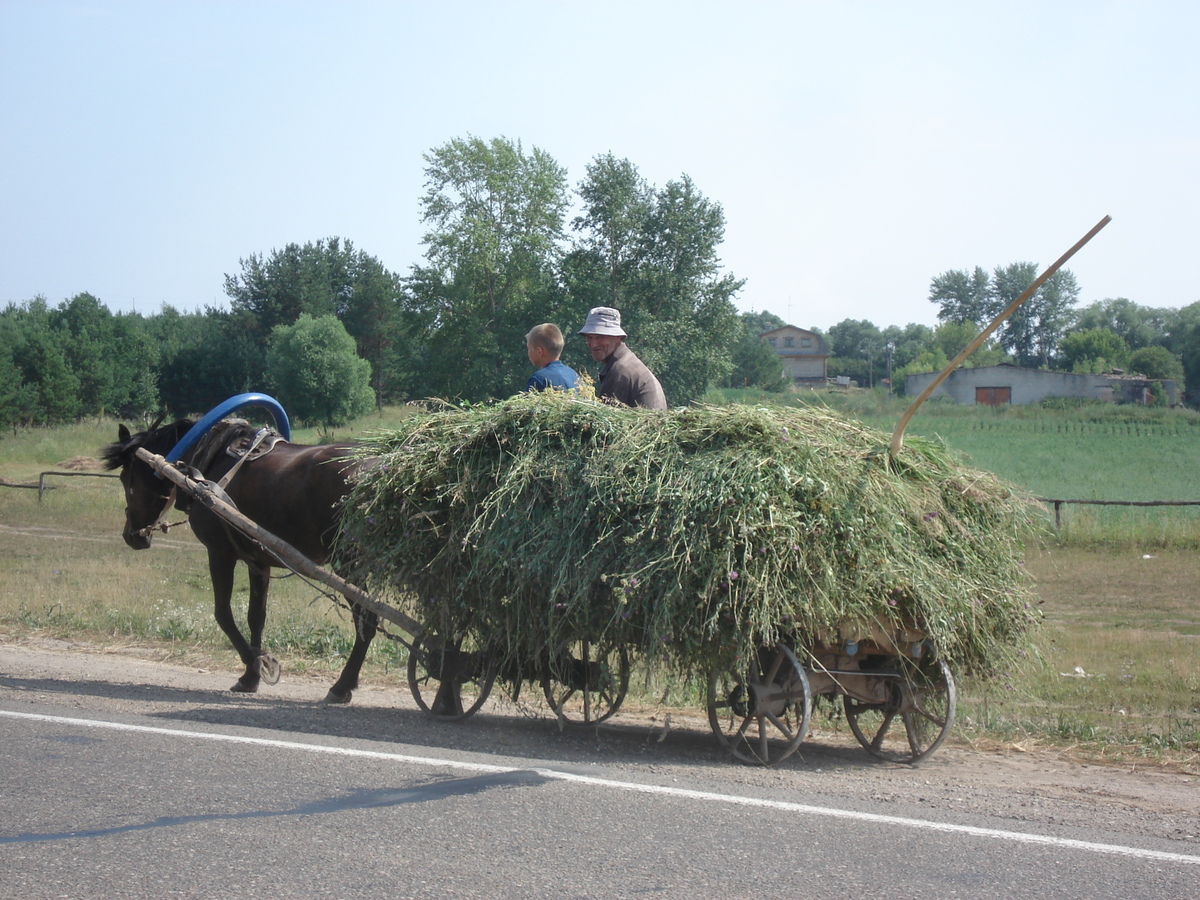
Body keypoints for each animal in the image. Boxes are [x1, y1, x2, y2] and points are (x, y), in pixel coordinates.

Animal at [103, 420, 376, 710]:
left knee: (367, 619)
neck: (206, 462)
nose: (131, 535)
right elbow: (256, 616)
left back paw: (341, 686)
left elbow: (223, 613)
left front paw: (257, 666)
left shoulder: (219, 553)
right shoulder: (259, 560)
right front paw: (250, 676)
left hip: (349, 564)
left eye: (126, 478)